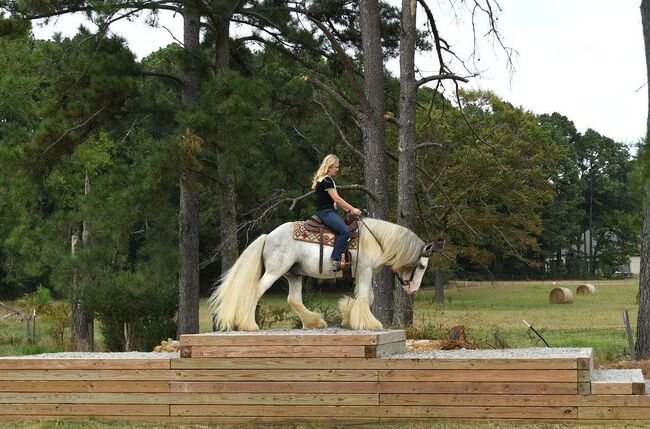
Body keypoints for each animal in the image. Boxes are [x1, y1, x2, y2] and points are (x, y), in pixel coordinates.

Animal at [208, 217, 437, 331]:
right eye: (422, 266)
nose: (413, 289)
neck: (376, 239)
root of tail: (268, 236)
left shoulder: (365, 273)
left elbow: (368, 297)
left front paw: (348, 317)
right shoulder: (365, 271)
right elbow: (365, 297)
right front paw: (369, 323)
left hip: (294, 275)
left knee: (293, 299)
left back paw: (314, 322)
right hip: (275, 272)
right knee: (256, 291)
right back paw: (250, 325)